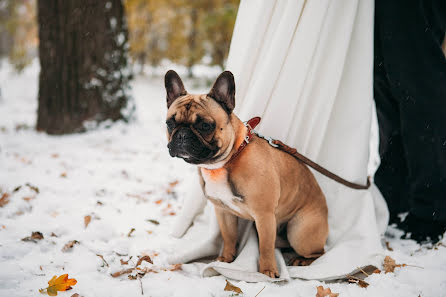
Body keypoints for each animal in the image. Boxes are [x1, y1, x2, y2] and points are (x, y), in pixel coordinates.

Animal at [164, 70, 328, 278]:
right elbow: (228, 237)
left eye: (205, 126)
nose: (182, 135)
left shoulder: (264, 215)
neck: (224, 163)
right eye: (170, 123)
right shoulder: (223, 211)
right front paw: (225, 259)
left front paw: (267, 271)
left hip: (300, 232)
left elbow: (265, 247)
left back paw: (302, 260)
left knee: (319, 251)